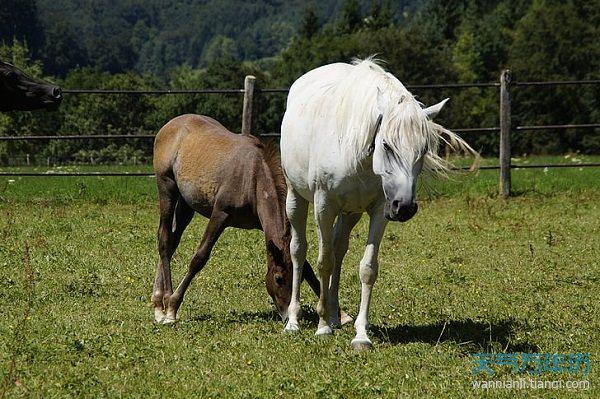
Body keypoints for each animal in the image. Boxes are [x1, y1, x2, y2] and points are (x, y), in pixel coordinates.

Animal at [282, 58, 474, 350]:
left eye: (423, 149)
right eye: (387, 144)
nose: (404, 208)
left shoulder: (379, 210)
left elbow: (367, 268)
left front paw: (361, 334)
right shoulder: (324, 206)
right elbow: (323, 261)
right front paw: (322, 326)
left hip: (351, 213)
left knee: (339, 249)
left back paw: (336, 316)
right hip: (296, 198)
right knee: (298, 250)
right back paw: (294, 320)